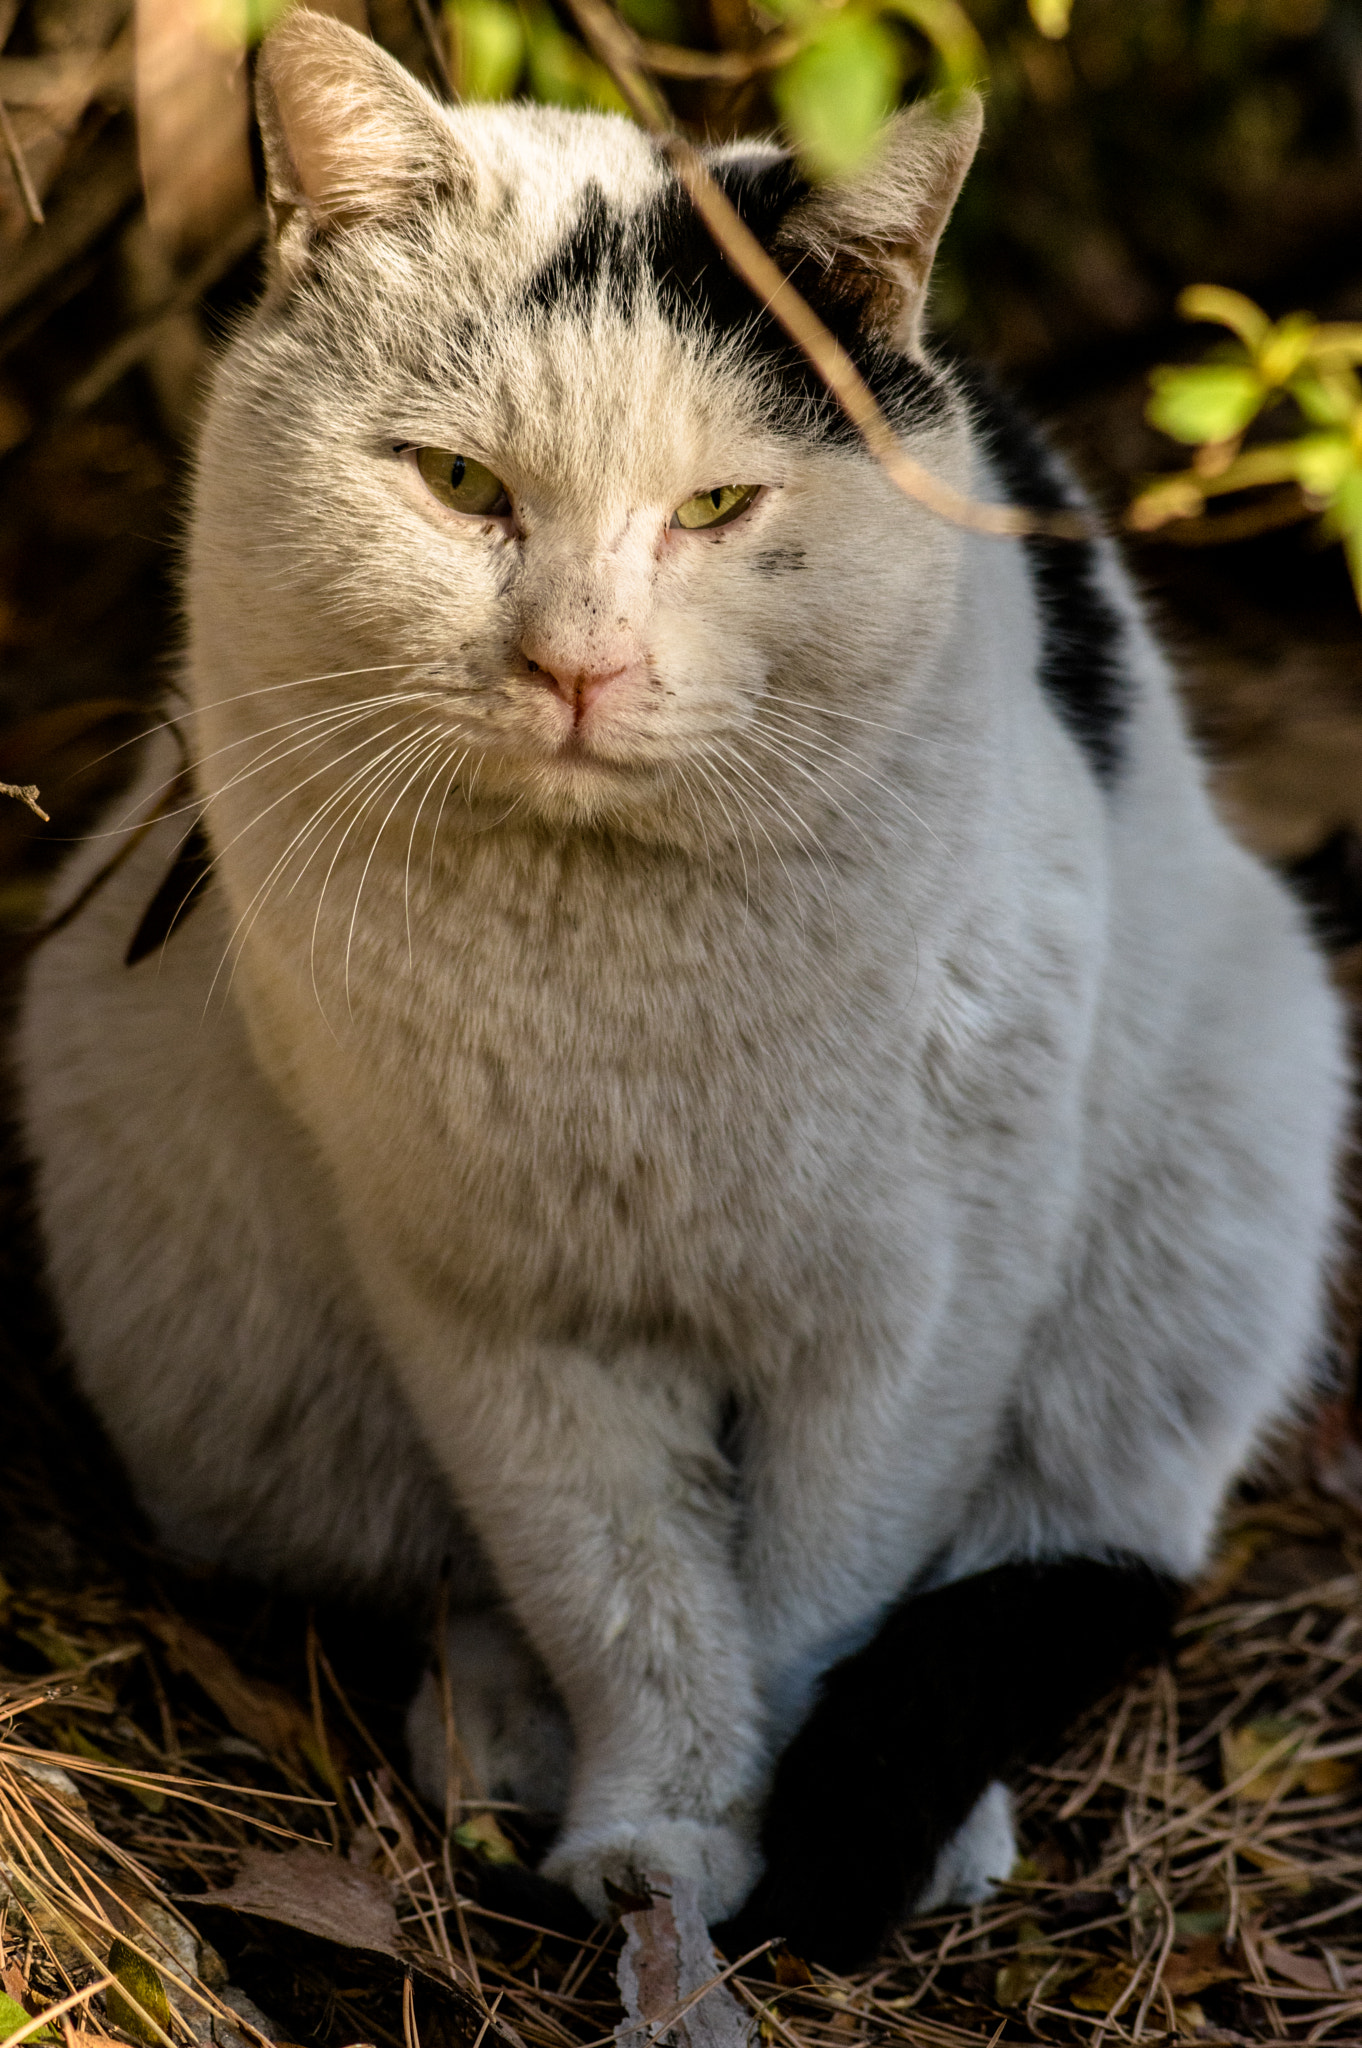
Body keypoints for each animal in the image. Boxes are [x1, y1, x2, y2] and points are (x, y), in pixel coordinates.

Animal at [15, 4, 1343, 1966]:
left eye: (717, 507)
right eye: (460, 486)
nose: (578, 665)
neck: (624, 988)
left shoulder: (923, 1293)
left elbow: (820, 1582)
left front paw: (784, 1852)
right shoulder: (492, 1307)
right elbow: (613, 1579)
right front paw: (659, 1833)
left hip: (1227, 1143)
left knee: (1077, 1524)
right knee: (445, 1575)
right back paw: (498, 1737)